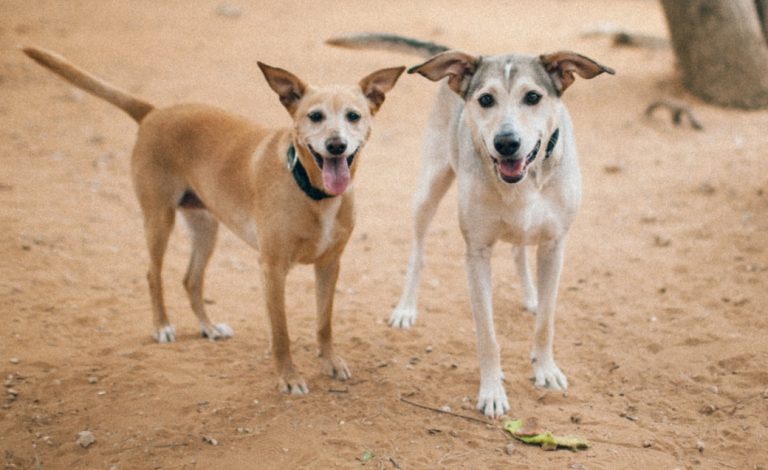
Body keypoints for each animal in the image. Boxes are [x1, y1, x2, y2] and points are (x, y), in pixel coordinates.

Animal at [21, 46, 404, 392]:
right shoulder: (272, 268)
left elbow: (324, 322)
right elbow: (281, 333)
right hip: (159, 218)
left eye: (353, 116)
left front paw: (330, 361)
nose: (336, 145)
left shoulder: (329, 264)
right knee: (153, 274)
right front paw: (289, 377)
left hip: (205, 227)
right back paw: (162, 326)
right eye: (315, 116)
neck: (313, 192)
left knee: (190, 279)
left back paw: (208, 327)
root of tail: (154, 112)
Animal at [328, 32, 616, 414]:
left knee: (519, 252)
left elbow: (546, 322)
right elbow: (487, 334)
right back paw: (406, 308)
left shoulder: (554, 245)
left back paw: (531, 296)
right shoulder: (477, 253)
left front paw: (546, 368)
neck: (521, 180)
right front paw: (492, 391)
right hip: (429, 188)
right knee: (418, 251)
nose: (506, 143)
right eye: (485, 99)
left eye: (533, 97)